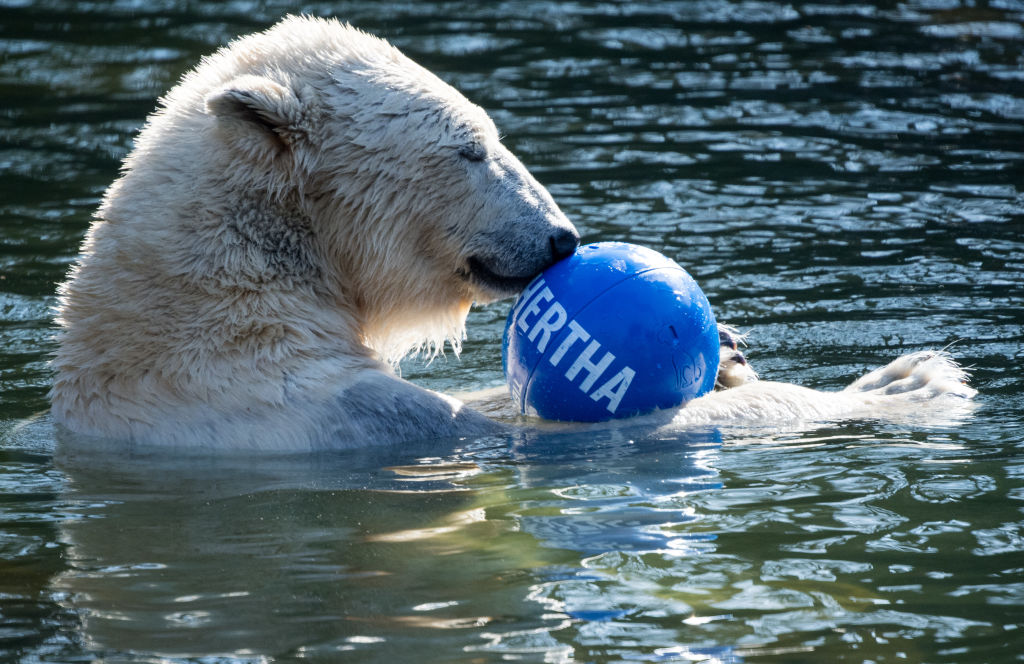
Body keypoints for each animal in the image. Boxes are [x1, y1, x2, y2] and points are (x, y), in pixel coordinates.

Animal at [49, 16, 974, 450]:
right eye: (471, 147)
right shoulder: (325, 412)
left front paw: (739, 357)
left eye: (489, 132)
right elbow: (557, 434)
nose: (562, 239)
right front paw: (906, 385)